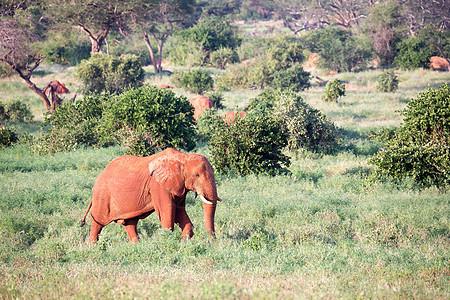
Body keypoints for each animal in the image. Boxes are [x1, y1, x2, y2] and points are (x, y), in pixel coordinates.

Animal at [81, 148, 222, 244]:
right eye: (196, 175)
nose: (212, 242)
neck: (183, 157)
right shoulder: (158, 185)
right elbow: (167, 210)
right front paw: (167, 242)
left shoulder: (179, 186)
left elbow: (180, 212)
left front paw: (182, 243)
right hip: (102, 195)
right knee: (98, 223)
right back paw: (92, 247)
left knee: (130, 223)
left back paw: (136, 246)